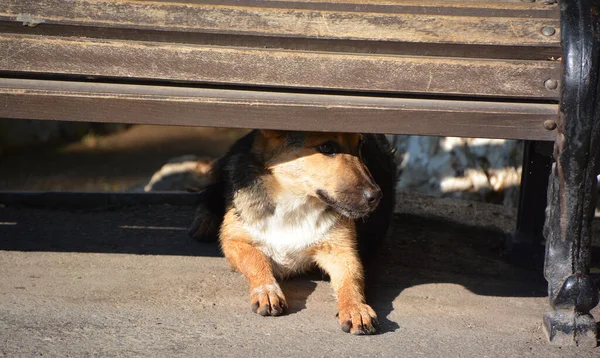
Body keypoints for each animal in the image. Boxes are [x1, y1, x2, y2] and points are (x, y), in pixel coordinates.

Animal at [190, 131, 396, 336]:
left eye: (360, 146)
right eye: (326, 147)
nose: (376, 196)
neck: (295, 202)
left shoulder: (342, 252)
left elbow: (351, 281)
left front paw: (356, 308)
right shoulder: (235, 241)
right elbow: (256, 260)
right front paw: (267, 291)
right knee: (212, 190)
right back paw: (205, 220)